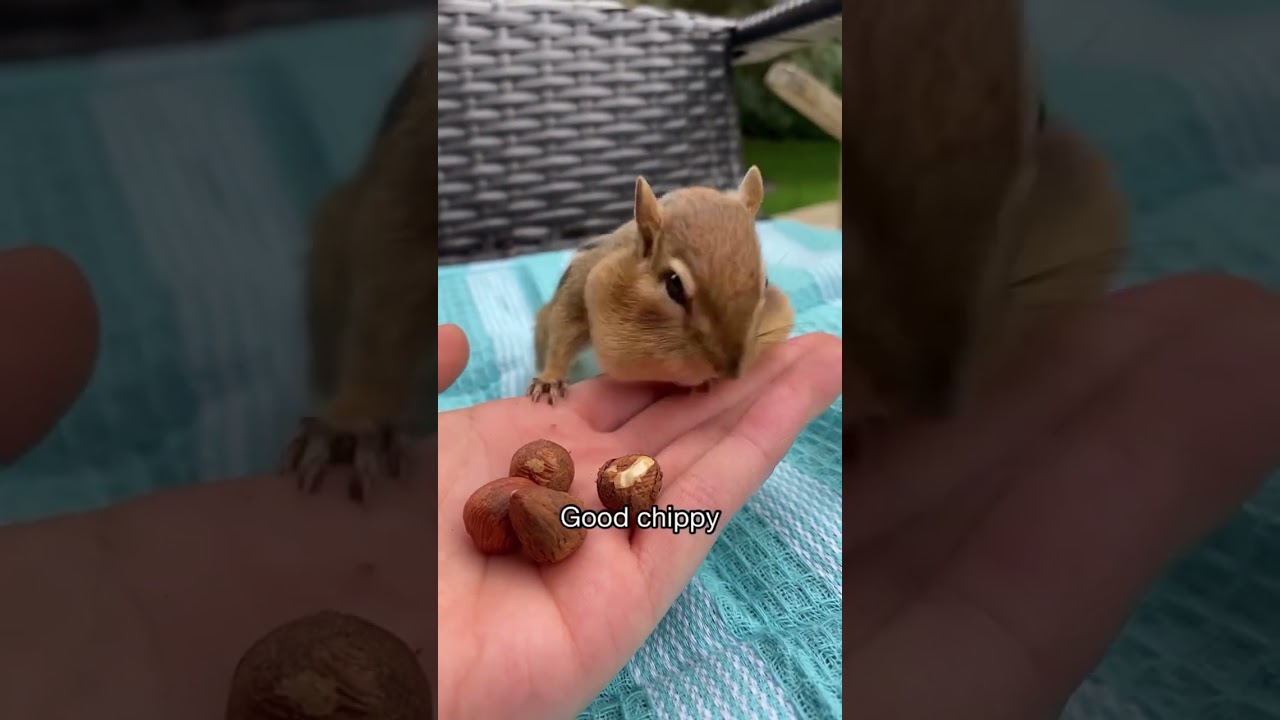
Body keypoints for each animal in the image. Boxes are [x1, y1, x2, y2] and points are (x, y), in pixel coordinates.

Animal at [526, 166, 795, 404]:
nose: (732, 373)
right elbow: (563, 331)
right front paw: (550, 379)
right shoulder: (580, 286)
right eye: (674, 285)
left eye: (765, 281)